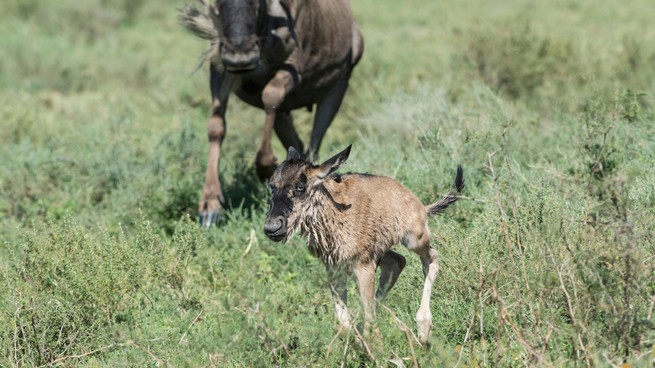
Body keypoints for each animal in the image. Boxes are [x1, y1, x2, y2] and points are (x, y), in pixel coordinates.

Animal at [264, 145, 464, 344]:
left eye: (300, 187)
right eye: (272, 186)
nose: (272, 227)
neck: (335, 214)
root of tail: (419, 203)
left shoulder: (363, 267)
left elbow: (370, 326)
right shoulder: (334, 268)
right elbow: (343, 324)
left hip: (415, 239)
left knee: (432, 258)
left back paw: (423, 328)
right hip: (381, 250)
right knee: (398, 261)